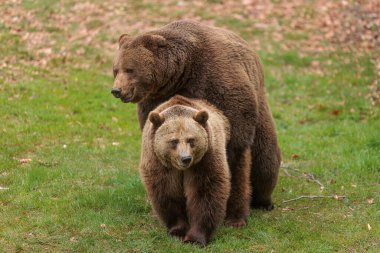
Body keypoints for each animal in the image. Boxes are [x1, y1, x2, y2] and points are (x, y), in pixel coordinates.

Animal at [111, 19, 280, 225]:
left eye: (130, 69)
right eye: (115, 70)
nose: (117, 90)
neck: (181, 73)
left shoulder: (220, 84)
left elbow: (235, 152)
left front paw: (235, 217)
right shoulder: (155, 101)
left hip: (260, 107)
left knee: (266, 161)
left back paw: (263, 201)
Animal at [140, 94, 236, 245]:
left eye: (191, 140)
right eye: (173, 141)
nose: (185, 158)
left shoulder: (205, 160)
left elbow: (205, 192)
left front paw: (195, 238)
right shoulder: (160, 164)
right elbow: (167, 192)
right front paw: (178, 230)